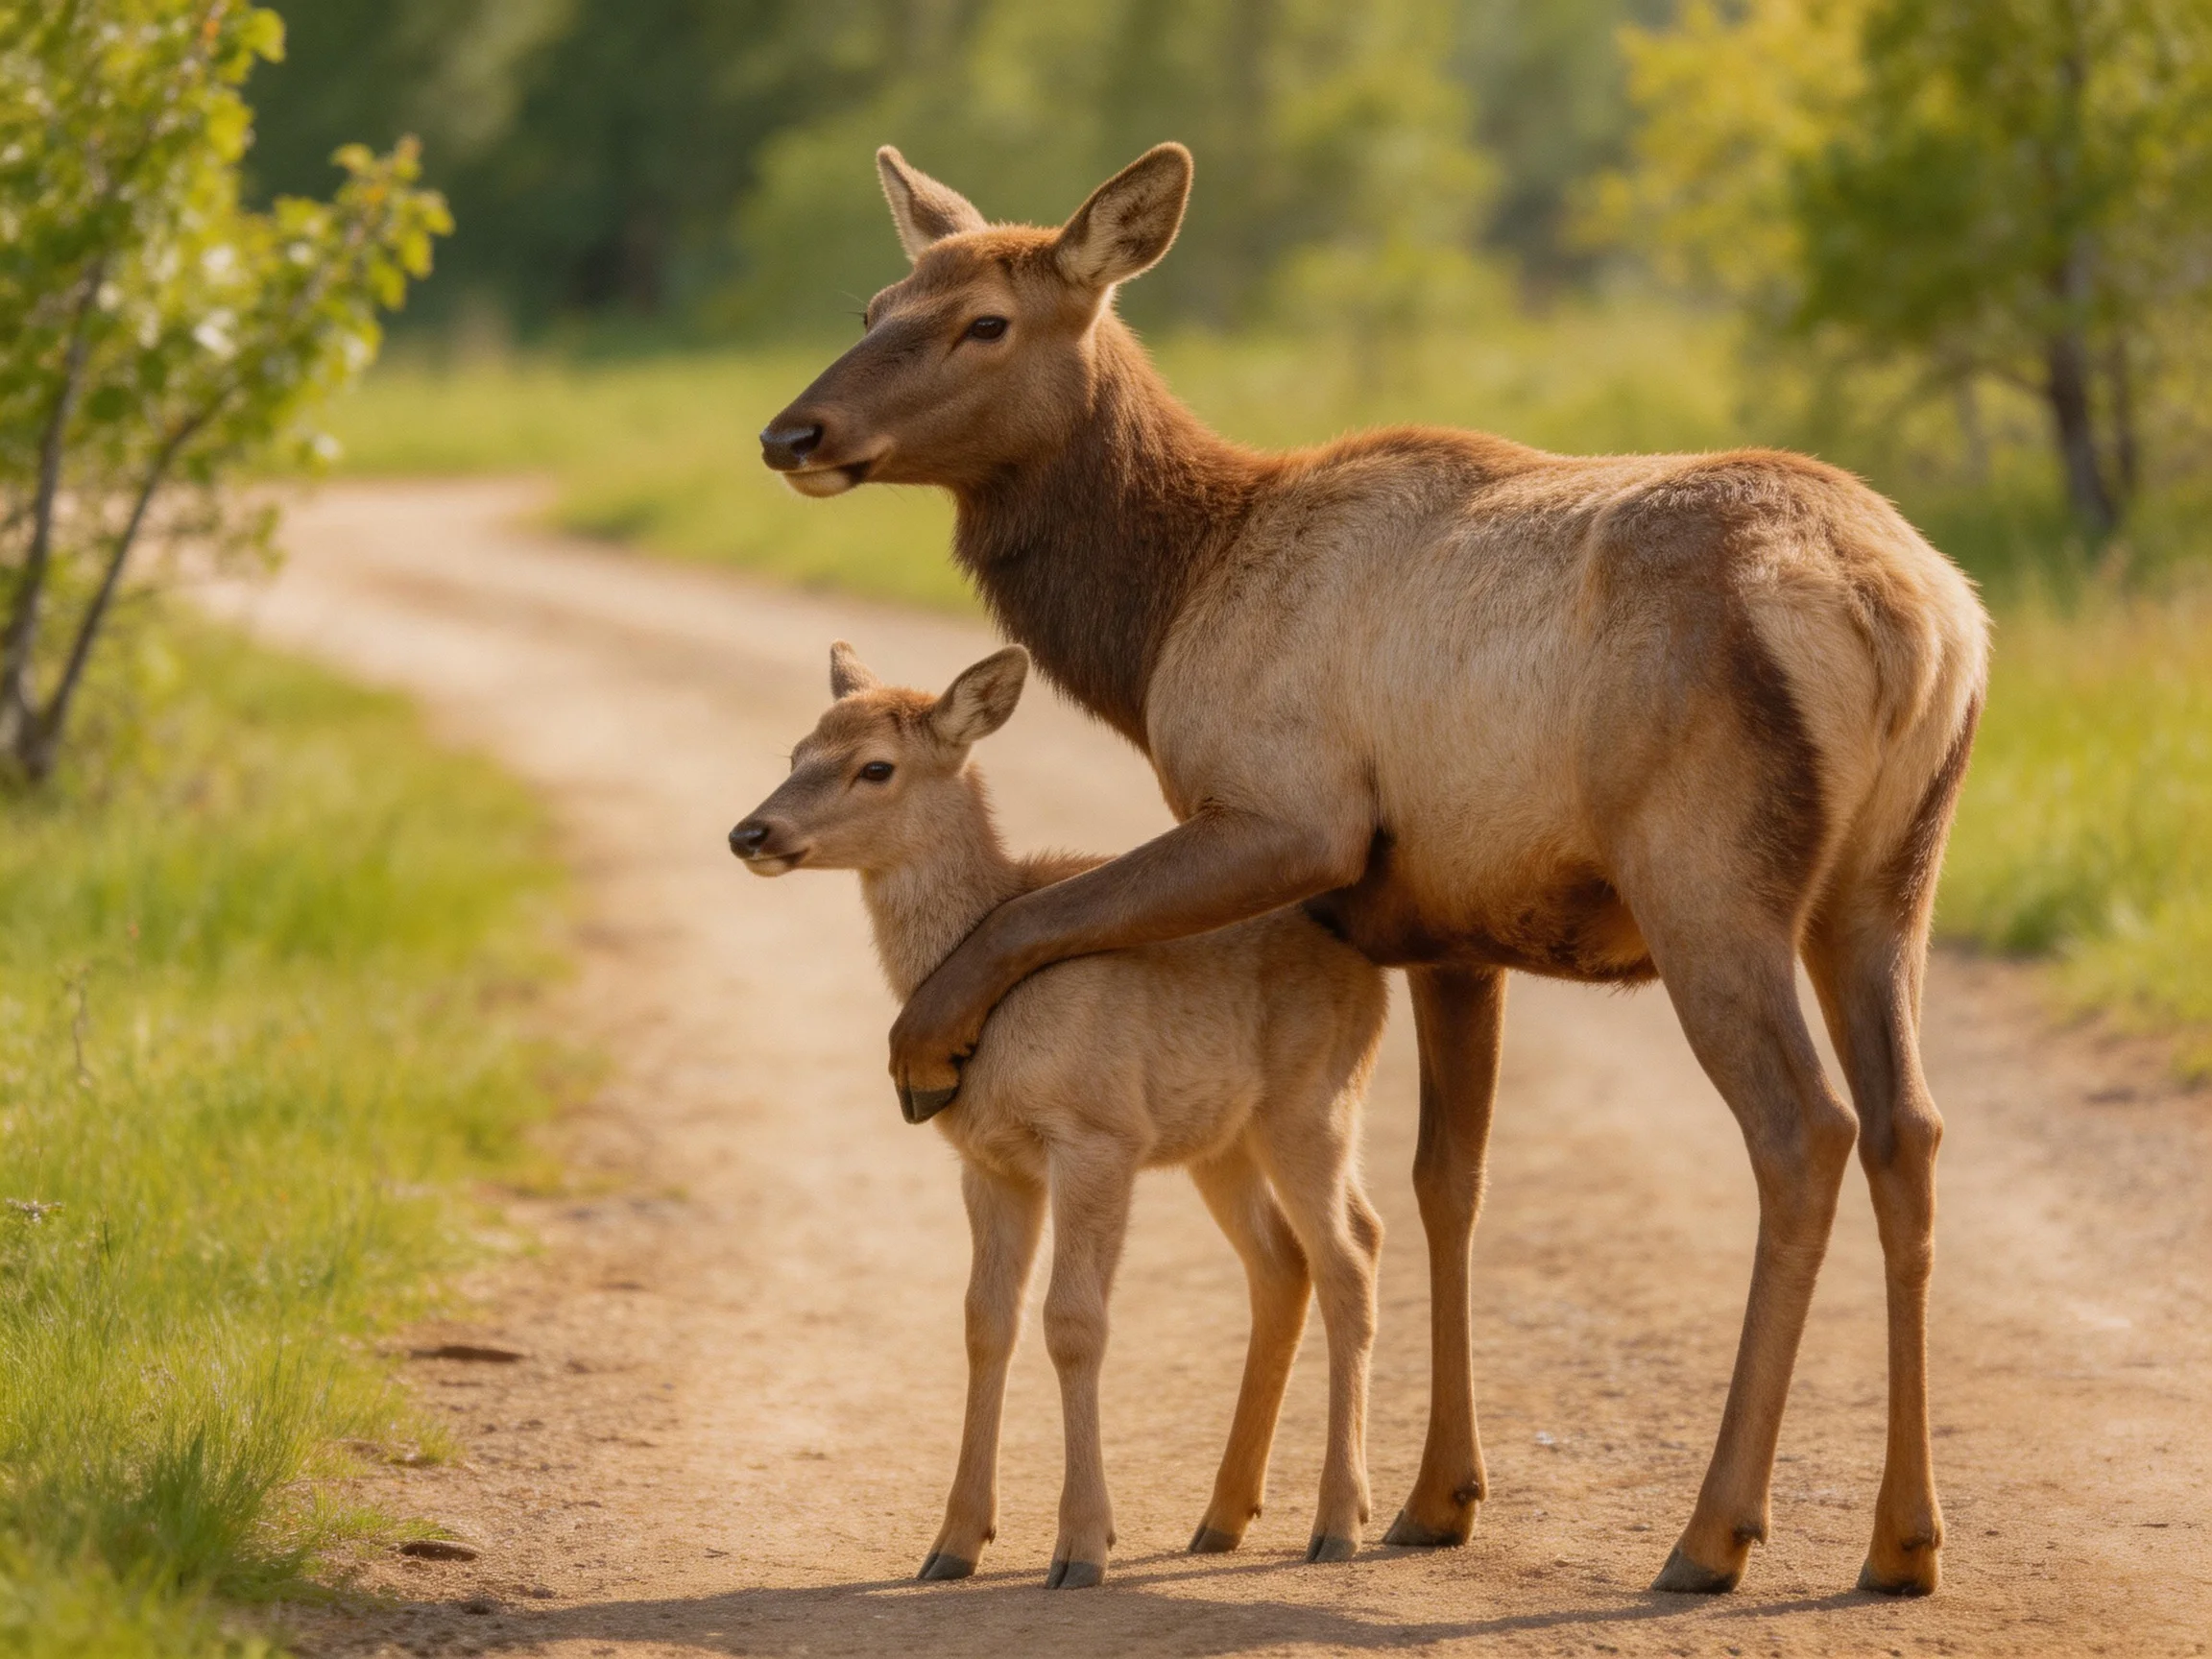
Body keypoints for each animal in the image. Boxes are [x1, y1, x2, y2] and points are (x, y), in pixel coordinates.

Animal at [729, 641, 1390, 1587]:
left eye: (875, 767)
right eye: (796, 753)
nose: (750, 833)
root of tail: (1373, 969)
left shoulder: (1096, 1135)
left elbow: (1074, 1322)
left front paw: (1080, 1546)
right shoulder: (987, 1159)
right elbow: (984, 1320)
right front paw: (954, 1542)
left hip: (1315, 1103)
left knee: (1352, 1254)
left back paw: (1338, 1522)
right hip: (1218, 1139)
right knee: (1282, 1263)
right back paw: (1223, 1516)